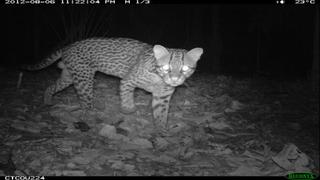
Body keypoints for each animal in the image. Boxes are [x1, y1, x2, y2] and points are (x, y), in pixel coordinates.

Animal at [24, 37, 202, 128]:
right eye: (166, 67)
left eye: (185, 68)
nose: (174, 79)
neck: (159, 79)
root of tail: (68, 46)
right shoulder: (128, 81)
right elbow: (126, 97)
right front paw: (128, 110)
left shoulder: (163, 97)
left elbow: (161, 114)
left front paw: (160, 131)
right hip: (84, 78)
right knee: (86, 103)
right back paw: (91, 117)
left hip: (68, 76)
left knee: (51, 86)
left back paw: (47, 100)